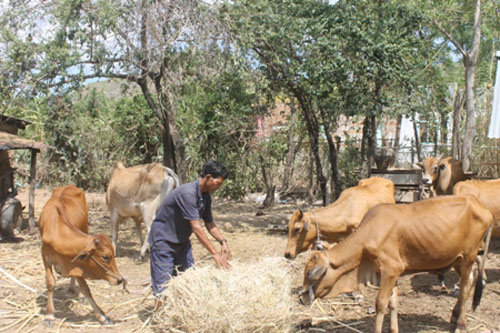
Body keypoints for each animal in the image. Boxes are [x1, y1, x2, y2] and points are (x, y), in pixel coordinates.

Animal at [39, 185, 125, 326]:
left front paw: (102, 315)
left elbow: (86, 289)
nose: (119, 280)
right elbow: (50, 283)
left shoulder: (78, 263)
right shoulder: (45, 254)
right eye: (105, 257)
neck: (57, 229)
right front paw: (49, 315)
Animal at [298, 195, 494, 332]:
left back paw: (460, 324)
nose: (301, 297)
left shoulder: (391, 270)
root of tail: (483, 208)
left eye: (309, 273)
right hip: (458, 260)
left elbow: (380, 303)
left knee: (465, 288)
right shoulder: (394, 274)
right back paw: (454, 318)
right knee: (469, 283)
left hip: (469, 256)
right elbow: (393, 303)